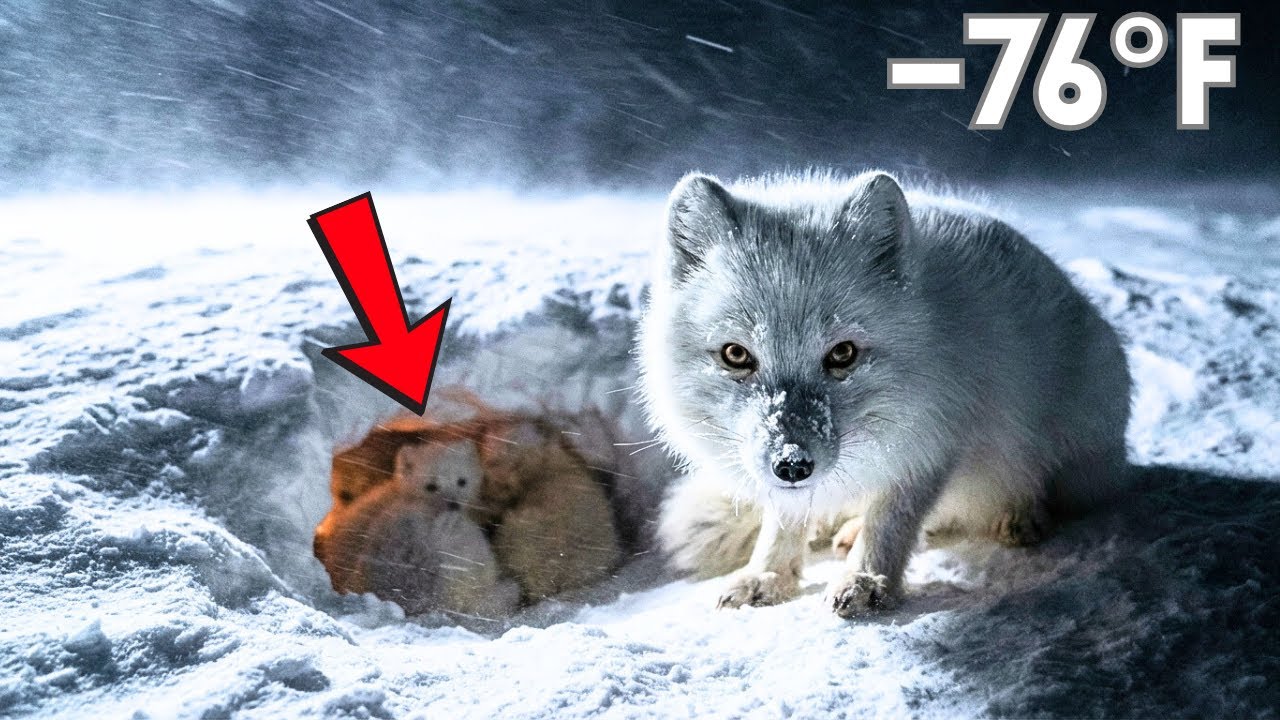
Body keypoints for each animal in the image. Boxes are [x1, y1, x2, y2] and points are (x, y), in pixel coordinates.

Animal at [638, 170, 1131, 617]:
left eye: (843, 353)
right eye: (736, 354)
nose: (793, 465)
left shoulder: (933, 440)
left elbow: (893, 522)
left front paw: (866, 582)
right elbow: (784, 522)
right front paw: (770, 575)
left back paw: (1021, 514)